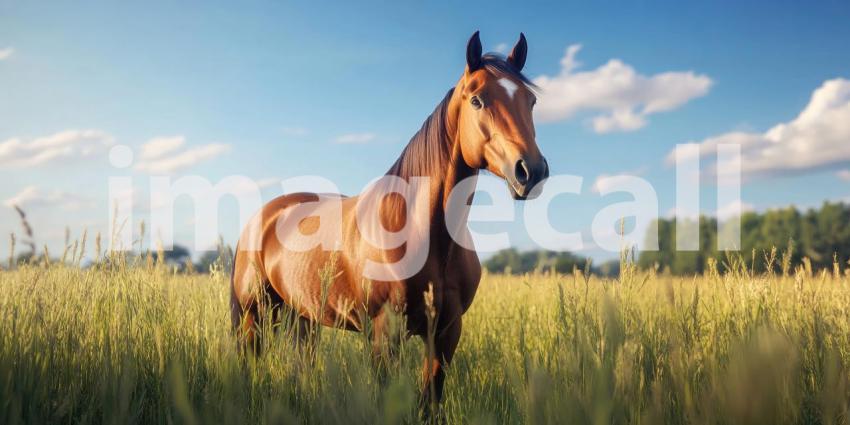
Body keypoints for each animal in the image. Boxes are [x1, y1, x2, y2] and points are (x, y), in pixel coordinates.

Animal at [231, 31, 549, 408]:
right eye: (477, 100)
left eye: (530, 100)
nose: (531, 171)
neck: (425, 234)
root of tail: (261, 218)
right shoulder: (385, 334)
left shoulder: (446, 333)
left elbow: (430, 403)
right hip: (254, 316)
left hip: (303, 318)